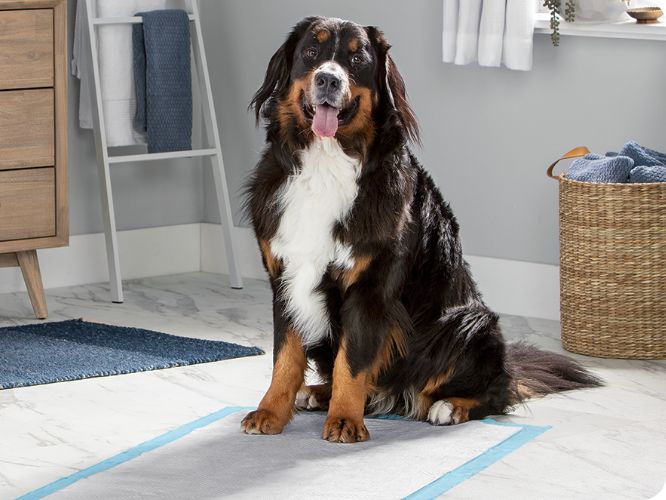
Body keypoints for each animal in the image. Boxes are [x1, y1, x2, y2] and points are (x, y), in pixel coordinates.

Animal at [239, 16, 596, 446]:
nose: (327, 79)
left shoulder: (370, 285)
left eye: (357, 58)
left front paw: (344, 420)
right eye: (311, 51)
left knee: (498, 390)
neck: (326, 163)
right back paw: (317, 393)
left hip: (468, 323)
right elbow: (286, 357)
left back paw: (450, 406)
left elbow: (351, 362)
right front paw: (271, 412)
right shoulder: (285, 277)